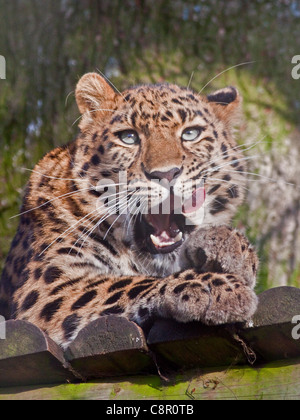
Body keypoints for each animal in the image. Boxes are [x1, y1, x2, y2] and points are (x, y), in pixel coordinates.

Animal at [0, 72, 258, 348]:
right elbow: (124, 284)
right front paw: (213, 287)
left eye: (190, 134)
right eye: (129, 137)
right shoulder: (49, 287)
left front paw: (229, 245)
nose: (166, 174)